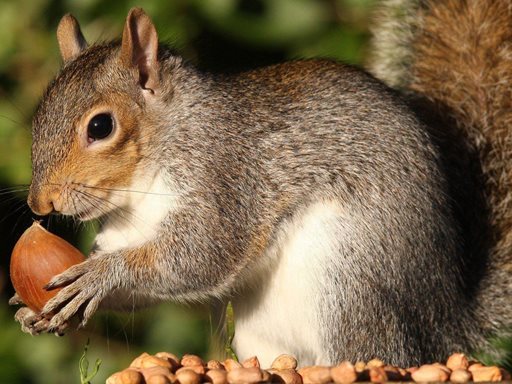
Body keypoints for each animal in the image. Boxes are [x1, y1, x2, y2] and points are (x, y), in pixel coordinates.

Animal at [9, 3, 512, 368]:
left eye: (101, 126)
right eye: (38, 116)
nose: (39, 203)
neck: (138, 193)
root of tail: (444, 323)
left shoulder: (228, 181)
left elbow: (199, 256)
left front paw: (100, 275)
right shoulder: (123, 231)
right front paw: (33, 309)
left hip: (350, 283)